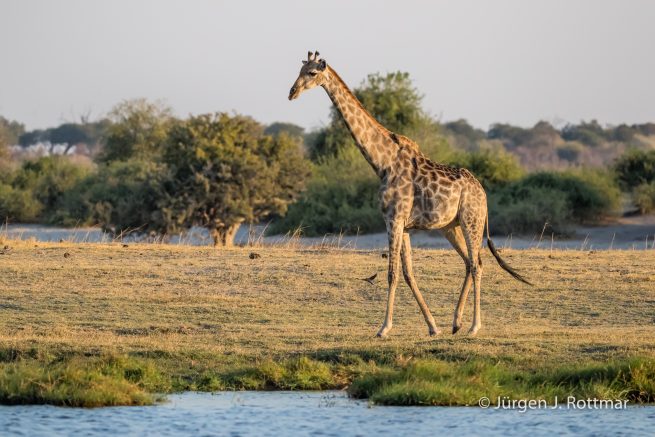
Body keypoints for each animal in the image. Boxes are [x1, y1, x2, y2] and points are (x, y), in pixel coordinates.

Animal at [289, 51, 532, 337]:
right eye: (299, 70)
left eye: (312, 73)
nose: (292, 92)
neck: (382, 162)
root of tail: (483, 193)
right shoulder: (403, 224)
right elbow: (408, 273)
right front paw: (433, 327)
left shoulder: (392, 219)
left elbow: (392, 273)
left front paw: (384, 328)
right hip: (451, 225)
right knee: (468, 263)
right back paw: (456, 322)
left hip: (472, 220)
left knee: (477, 264)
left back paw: (474, 326)